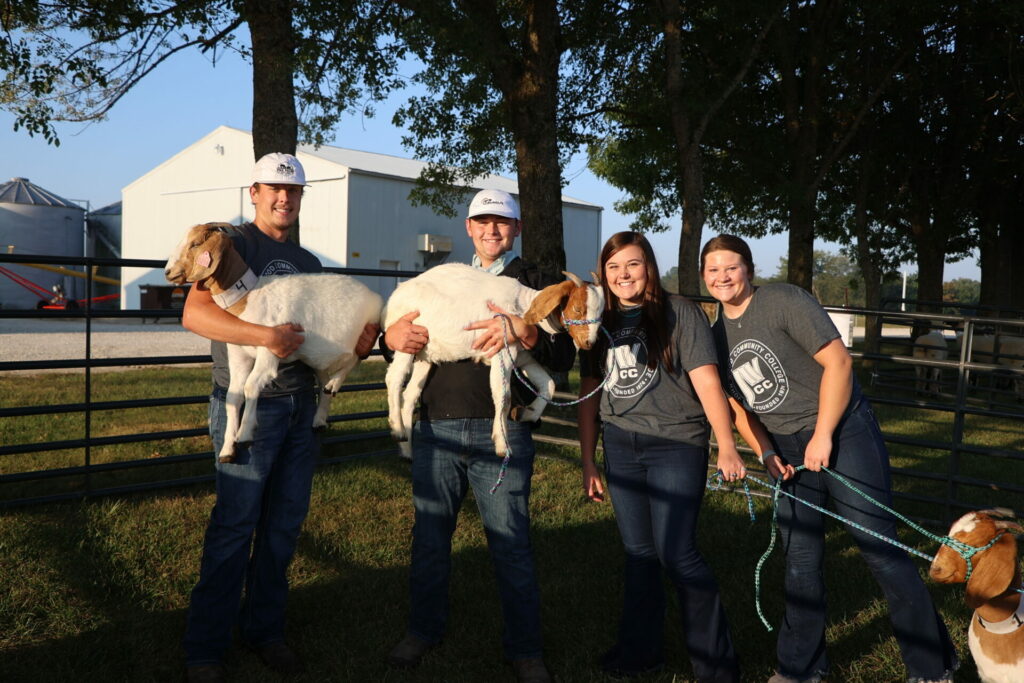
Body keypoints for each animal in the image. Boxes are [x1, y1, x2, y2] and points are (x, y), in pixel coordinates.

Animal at [167, 224, 385, 464]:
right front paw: (227, 450)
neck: (247, 298)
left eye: (195, 244)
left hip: (365, 331)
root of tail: (374, 295)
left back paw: (335, 383)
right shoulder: (238, 354)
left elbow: (250, 386)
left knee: (355, 359)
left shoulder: (269, 351)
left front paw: (245, 435)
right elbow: (233, 395)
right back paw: (319, 417)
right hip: (315, 358)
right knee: (323, 381)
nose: (168, 271)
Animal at [385, 262, 606, 458]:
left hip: (424, 352)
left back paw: (407, 449)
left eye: (601, 313)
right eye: (577, 309)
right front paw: (502, 444)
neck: (522, 305)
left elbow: (549, 385)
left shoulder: (524, 357)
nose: (589, 342)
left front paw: (527, 414)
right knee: (394, 378)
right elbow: (504, 395)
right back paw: (397, 429)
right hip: (407, 337)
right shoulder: (501, 351)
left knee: (410, 393)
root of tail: (394, 297)